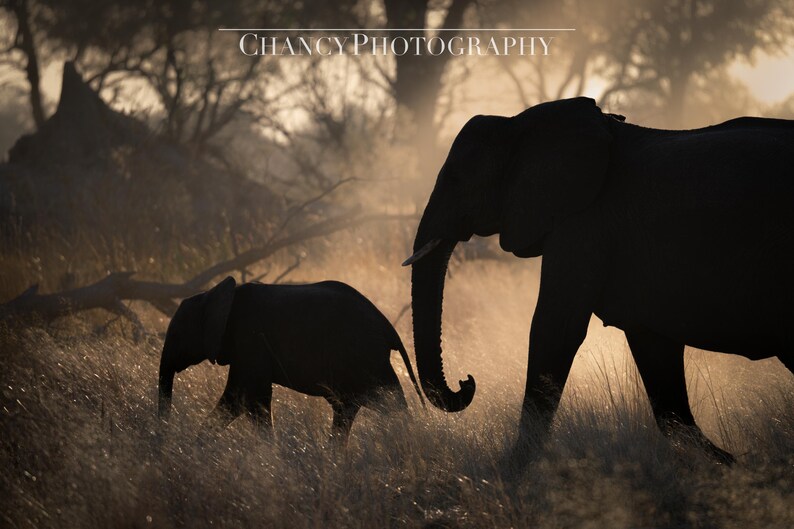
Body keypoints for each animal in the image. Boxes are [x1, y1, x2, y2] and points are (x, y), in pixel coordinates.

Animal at [158, 277, 424, 439]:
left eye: (178, 334)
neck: (213, 294)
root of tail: (389, 328)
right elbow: (246, 399)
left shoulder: (250, 341)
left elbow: (245, 398)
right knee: (352, 408)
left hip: (365, 359)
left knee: (386, 403)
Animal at [404, 97, 794, 463]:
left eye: (455, 179)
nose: (466, 382)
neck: (517, 123)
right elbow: (657, 363)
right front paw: (731, 465)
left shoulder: (584, 223)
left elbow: (554, 331)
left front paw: (507, 474)